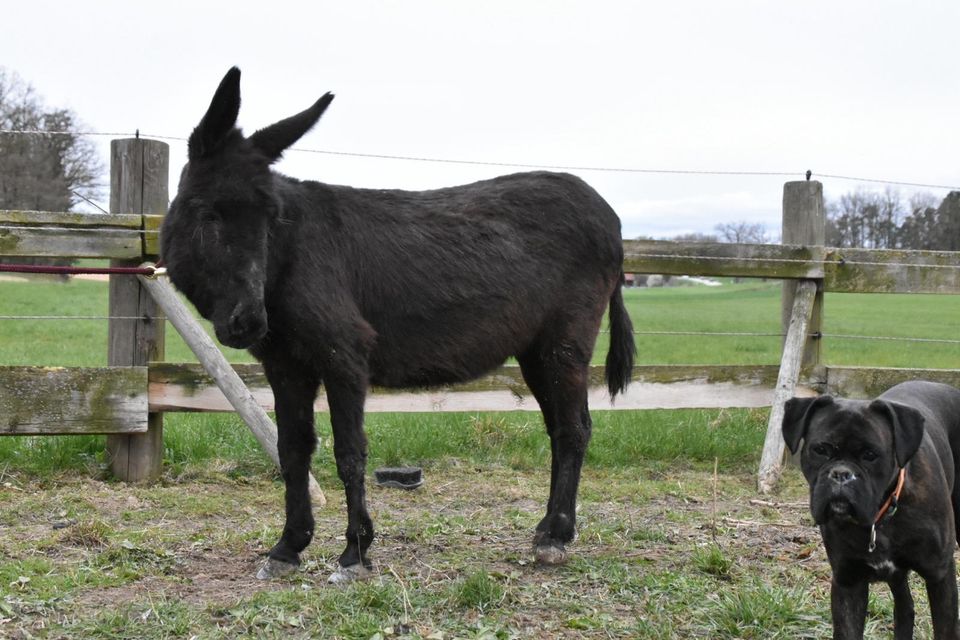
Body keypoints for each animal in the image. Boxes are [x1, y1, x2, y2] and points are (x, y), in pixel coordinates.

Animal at [780, 382, 960, 636]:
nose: (841, 474)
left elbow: (946, 629)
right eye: (820, 450)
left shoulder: (939, 575)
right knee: (905, 607)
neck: (881, 518)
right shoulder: (848, 581)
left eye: (870, 455)